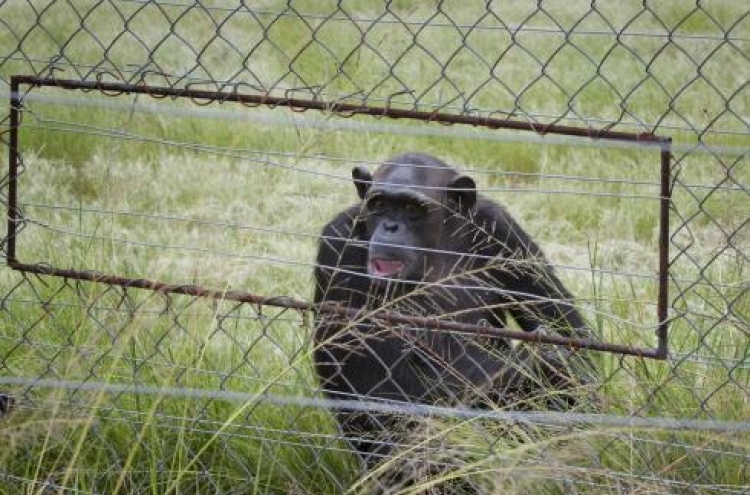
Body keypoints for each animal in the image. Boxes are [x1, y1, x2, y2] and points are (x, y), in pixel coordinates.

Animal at [314, 153, 596, 470]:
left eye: (411, 208)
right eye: (379, 204)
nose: (390, 227)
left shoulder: (503, 232)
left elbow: (564, 327)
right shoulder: (338, 244)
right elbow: (373, 382)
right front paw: (530, 365)